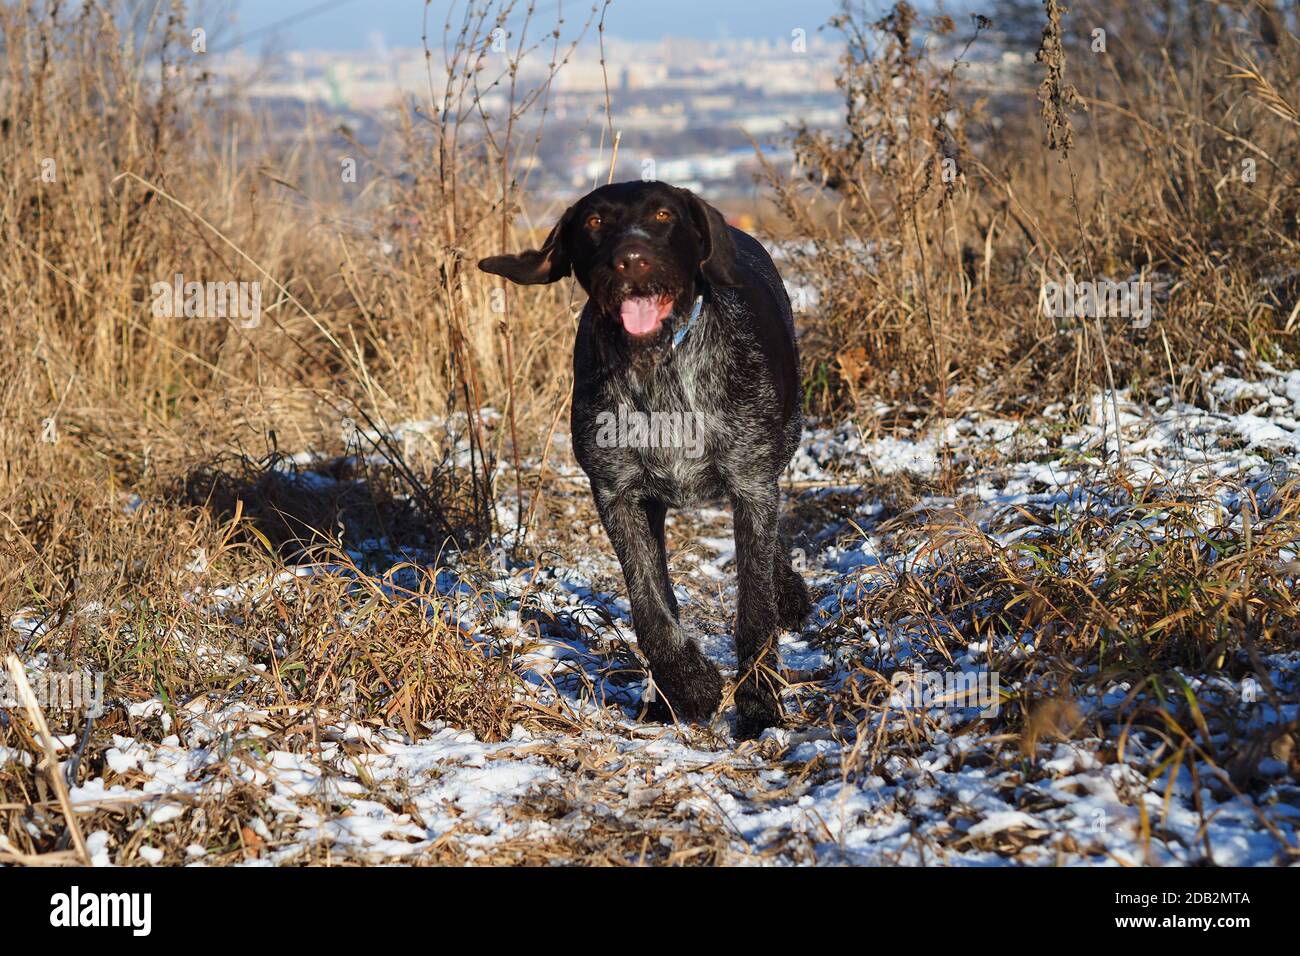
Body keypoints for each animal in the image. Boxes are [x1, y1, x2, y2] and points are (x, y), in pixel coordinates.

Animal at [478, 179, 806, 738]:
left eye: (662, 215)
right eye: (594, 222)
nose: (631, 260)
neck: (658, 369)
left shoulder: (751, 484)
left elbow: (755, 608)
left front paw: (760, 704)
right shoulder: (620, 495)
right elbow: (652, 611)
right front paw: (689, 687)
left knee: (772, 545)